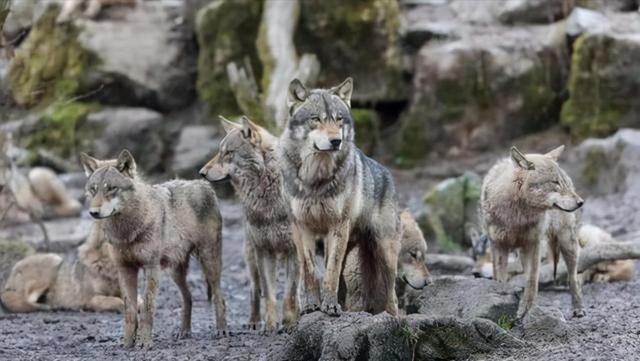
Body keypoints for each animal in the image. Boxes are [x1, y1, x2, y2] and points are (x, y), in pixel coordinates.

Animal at [80, 148, 226, 346]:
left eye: (111, 188)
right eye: (93, 190)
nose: (93, 212)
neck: (128, 230)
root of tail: (203, 184)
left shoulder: (151, 267)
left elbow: (147, 307)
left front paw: (144, 342)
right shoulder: (125, 269)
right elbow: (129, 309)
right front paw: (127, 343)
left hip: (209, 263)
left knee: (220, 297)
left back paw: (222, 330)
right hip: (175, 272)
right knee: (188, 298)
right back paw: (184, 332)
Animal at [198, 116, 298, 332]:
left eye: (228, 153)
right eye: (219, 151)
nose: (201, 173)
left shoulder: (294, 250)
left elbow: (290, 294)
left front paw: (290, 323)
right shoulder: (264, 250)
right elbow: (269, 295)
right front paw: (270, 326)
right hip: (251, 255)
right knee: (254, 288)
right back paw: (254, 321)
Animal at [278, 76, 400, 316]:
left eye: (339, 119)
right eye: (316, 119)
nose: (336, 141)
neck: (316, 179)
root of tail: (387, 173)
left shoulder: (337, 226)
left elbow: (331, 272)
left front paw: (330, 306)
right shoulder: (302, 227)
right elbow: (311, 272)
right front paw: (312, 306)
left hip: (384, 254)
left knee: (392, 295)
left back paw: (393, 318)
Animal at [480, 145, 584, 316]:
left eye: (562, 183)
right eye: (555, 182)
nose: (581, 202)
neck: (517, 216)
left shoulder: (534, 244)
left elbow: (532, 279)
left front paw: (527, 308)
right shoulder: (498, 245)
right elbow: (500, 277)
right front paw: (500, 297)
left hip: (568, 244)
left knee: (573, 278)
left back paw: (578, 307)